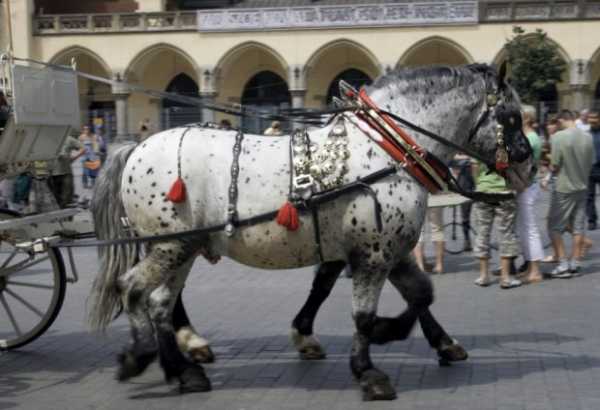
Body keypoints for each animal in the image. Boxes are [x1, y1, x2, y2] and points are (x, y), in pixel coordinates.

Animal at [86, 64, 532, 400]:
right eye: (511, 116)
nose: (528, 162)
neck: (385, 150)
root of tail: (135, 147)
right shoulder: (372, 253)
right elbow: (363, 314)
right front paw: (368, 370)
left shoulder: (391, 247)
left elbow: (420, 294)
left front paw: (424, 339)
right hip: (170, 245)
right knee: (135, 290)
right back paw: (142, 356)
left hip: (182, 246)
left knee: (161, 303)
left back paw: (184, 370)